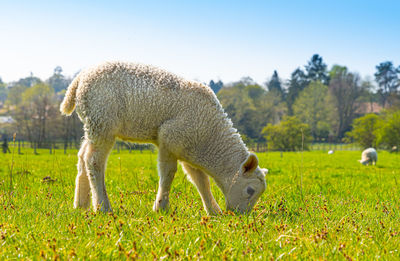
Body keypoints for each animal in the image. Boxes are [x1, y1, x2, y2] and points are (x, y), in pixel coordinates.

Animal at [60, 60, 266, 213]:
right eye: (250, 190)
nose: (240, 215)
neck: (211, 138)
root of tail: (78, 80)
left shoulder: (188, 147)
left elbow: (200, 180)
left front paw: (213, 211)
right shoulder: (169, 138)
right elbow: (168, 174)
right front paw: (161, 207)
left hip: (93, 123)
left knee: (83, 156)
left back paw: (81, 204)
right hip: (102, 119)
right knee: (94, 161)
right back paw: (102, 207)